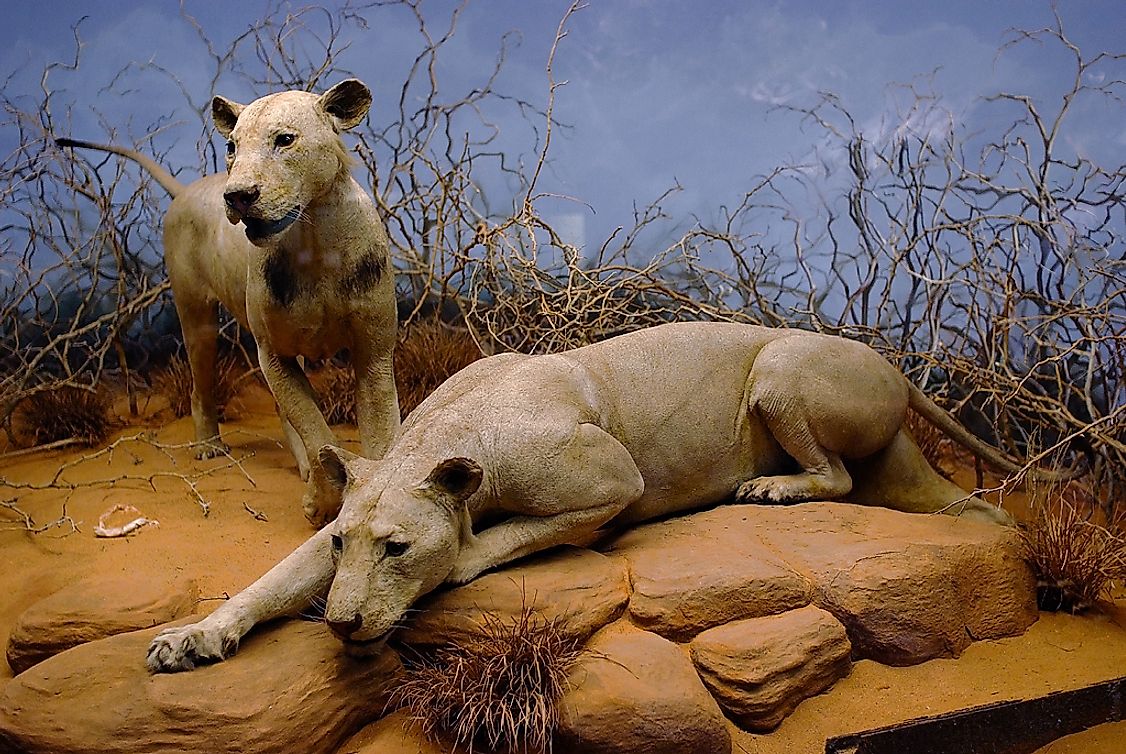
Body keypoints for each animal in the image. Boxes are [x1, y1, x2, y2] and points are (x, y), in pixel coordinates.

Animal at [59, 78, 400, 526]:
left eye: (284, 140)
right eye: (232, 146)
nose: (238, 196)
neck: (314, 243)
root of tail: (187, 189)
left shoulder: (373, 353)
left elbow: (379, 434)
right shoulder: (271, 353)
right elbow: (315, 430)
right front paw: (322, 501)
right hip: (197, 317)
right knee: (202, 386)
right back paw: (209, 446)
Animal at [149, 324, 1022, 675]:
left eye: (399, 549)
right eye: (343, 545)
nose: (341, 623)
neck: (445, 438)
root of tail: (896, 365)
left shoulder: (612, 482)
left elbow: (500, 540)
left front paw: (461, 555)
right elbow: (269, 583)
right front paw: (193, 638)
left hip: (780, 372)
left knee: (837, 477)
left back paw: (772, 486)